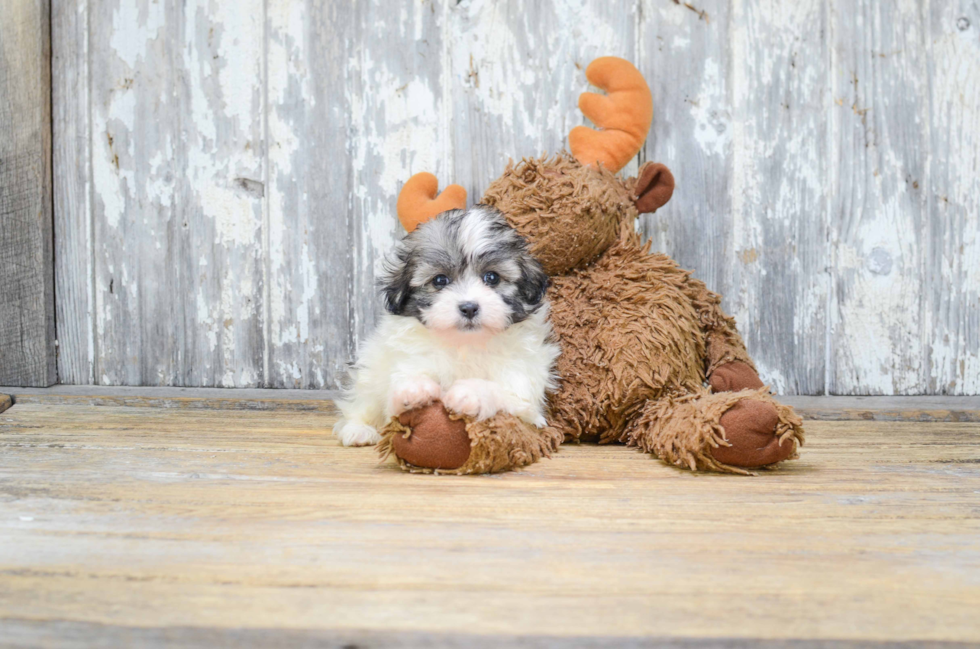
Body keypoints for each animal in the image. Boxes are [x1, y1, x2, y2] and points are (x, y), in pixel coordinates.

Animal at [334, 204, 560, 446]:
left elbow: (506, 393)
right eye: (440, 280)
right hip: (370, 369)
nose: (469, 307)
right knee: (361, 402)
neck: (465, 344)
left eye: (492, 277)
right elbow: (397, 396)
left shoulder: (523, 383)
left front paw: (470, 393)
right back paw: (358, 430)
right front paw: (415, 388)